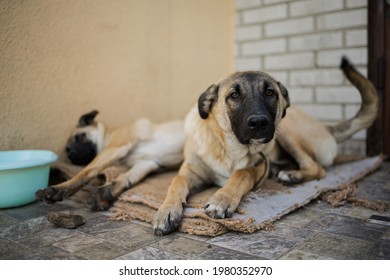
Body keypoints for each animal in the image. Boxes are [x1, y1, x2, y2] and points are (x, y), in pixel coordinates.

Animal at [35, 111, 185, 210]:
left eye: (79, 137)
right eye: (67, 150)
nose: (71, 155)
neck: (108, 136)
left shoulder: (115, 148)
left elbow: (86, 171)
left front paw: (59, 189)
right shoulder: (147, 162)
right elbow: (127, 177)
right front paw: (106, 193)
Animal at [152, 56, 378, 234]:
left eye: (270, 93)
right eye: (234, 95)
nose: (259, 122)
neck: (229, 148)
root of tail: (326, 127)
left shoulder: (259, 167)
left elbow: (241, 173)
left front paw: (222, 198)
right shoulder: (191, 171)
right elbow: (176, 182)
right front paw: (167, 210)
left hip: (284, 130)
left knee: (317, 168)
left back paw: (292, 175)